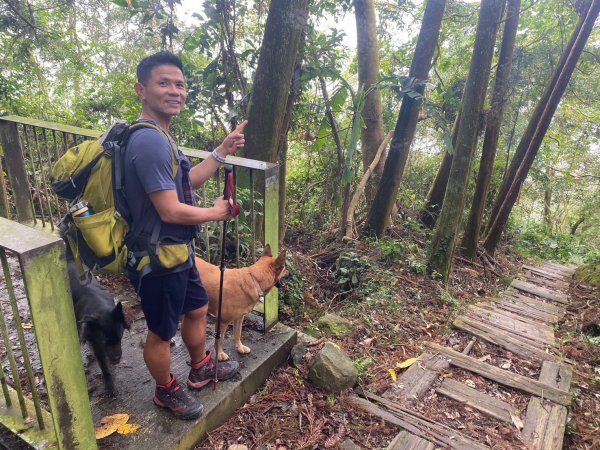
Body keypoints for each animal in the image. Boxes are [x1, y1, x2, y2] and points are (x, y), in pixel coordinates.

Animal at [65, 255, 130, 396]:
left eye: (120, 336)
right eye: (103, 341)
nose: (117, 358)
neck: (99, 306)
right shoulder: (96, 343)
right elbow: (104, 366)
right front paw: (109, 384)